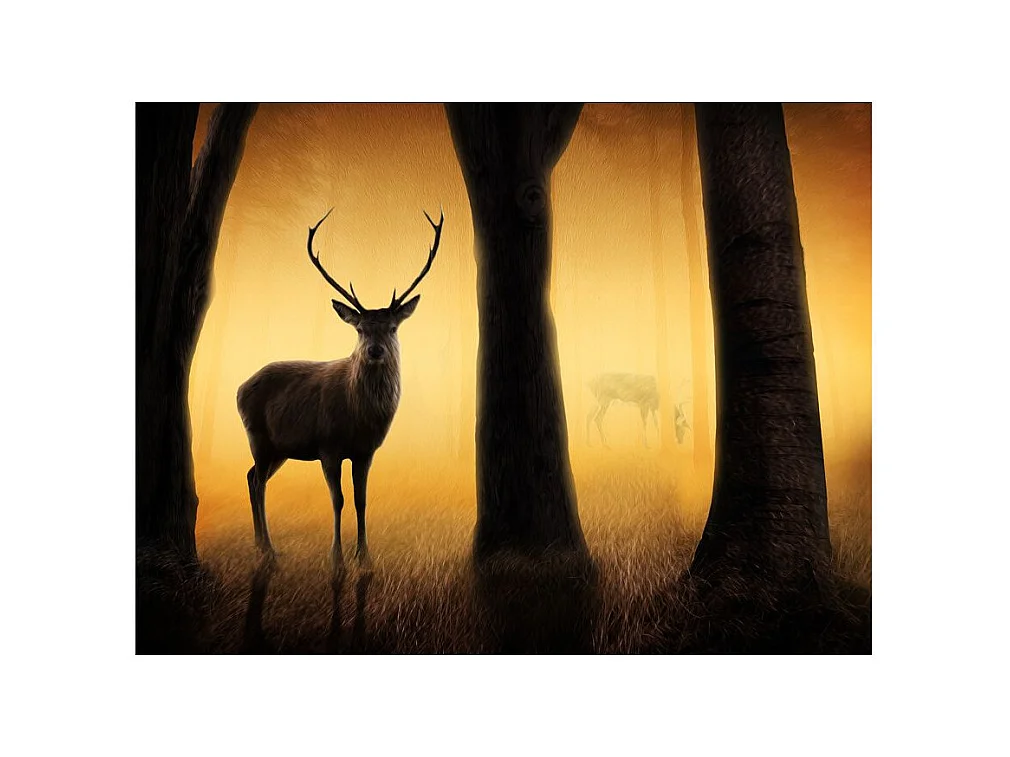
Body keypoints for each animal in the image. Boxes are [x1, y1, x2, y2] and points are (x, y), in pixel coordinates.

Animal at [237, 207, 442, 568]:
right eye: (360, 329)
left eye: (392, 327)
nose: (375, 351)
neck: (359, 419)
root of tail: (238, 388)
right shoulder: (327, 446)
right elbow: (338, 500)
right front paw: (337, 558)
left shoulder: (366, 451)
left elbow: (361, 500)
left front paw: (365, 557)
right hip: (257, 436)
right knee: (258, 482)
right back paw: (268, 550)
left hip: (279, 448)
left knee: (250, 477)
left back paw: (262, 546)